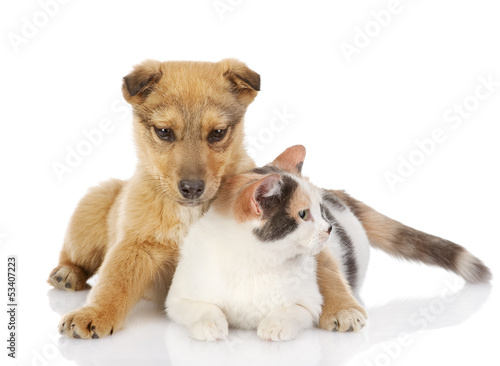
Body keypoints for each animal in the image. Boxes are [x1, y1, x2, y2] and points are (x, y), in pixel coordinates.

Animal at [166, 144, 370, 342]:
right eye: (303, 214)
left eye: (321, 210)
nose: (329, 228)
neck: (252, 259)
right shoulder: (177, 298)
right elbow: (202, 308)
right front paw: (209, 325)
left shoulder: (308, 303)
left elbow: (292, 310)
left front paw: (275, 326)